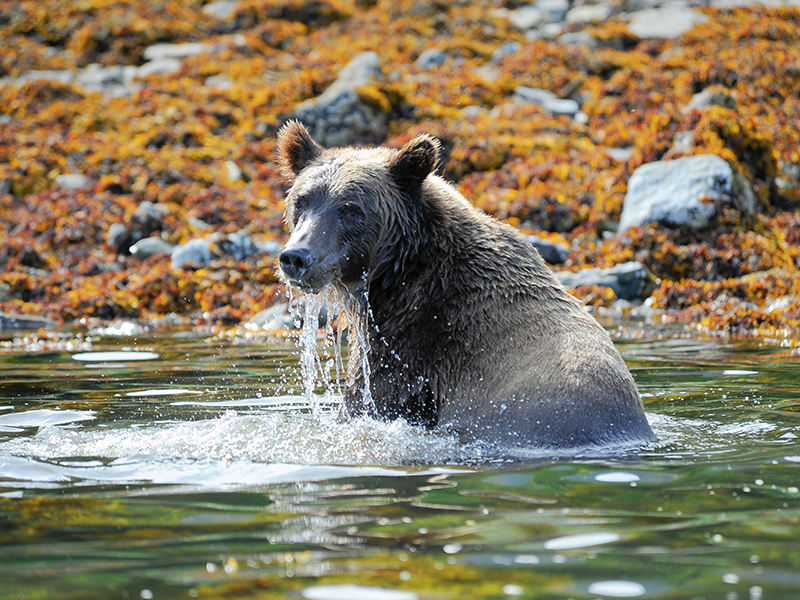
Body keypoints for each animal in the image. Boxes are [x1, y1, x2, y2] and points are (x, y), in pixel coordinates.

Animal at [276, 120, 656, 453]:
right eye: (302, 200)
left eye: (350, 208)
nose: (296, 256)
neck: (399, 274)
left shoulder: (409, 342)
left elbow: (368, 400)